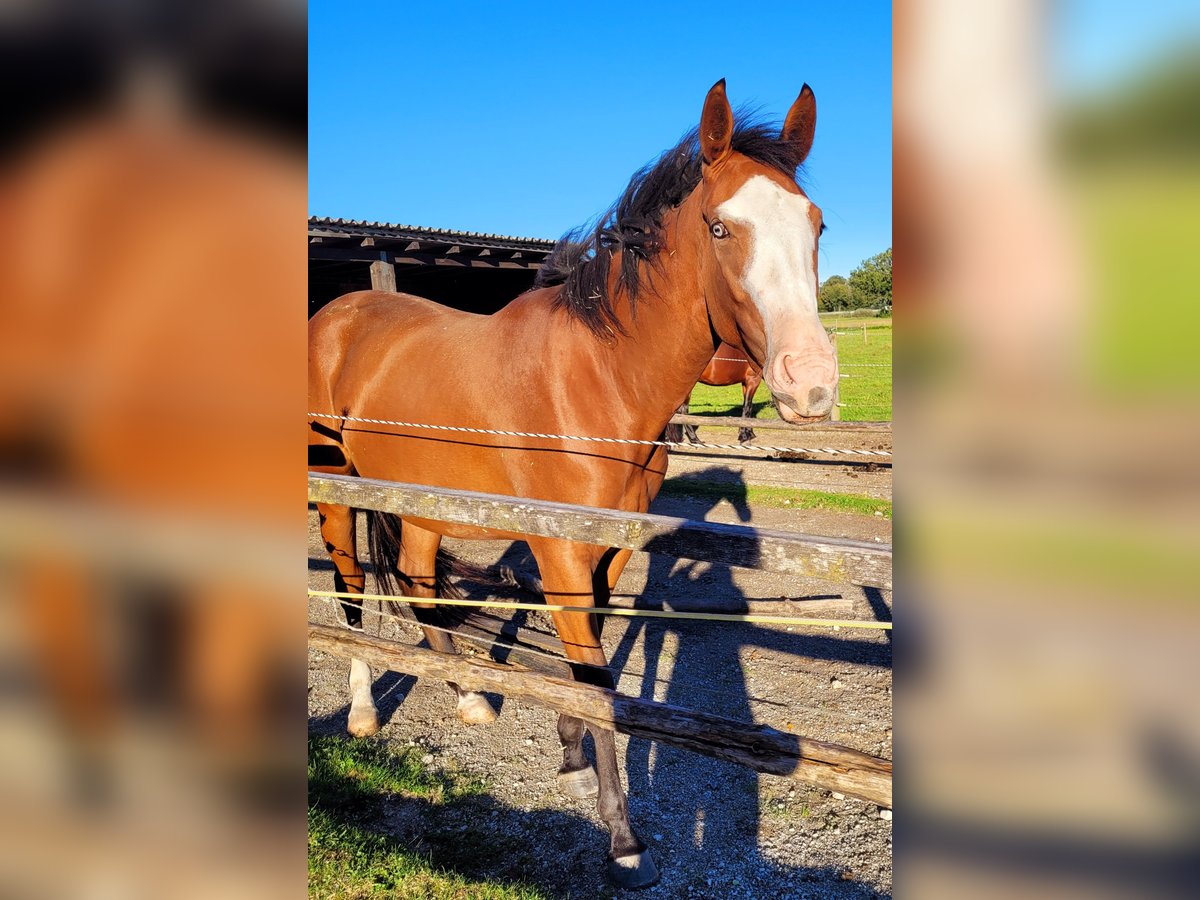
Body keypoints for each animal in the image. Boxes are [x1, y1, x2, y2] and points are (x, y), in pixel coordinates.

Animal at [304, 77, 840, 888]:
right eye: (720, 228)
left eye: (817, 224)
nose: (810, 386)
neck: (596, 382)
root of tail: (338, 313)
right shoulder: (558, 549)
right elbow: (594, 680)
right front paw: (623, 839)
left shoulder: (609, 551)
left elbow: (588, 663)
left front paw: (567, 750)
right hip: (339, 492)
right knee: (352, 588)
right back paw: (365, 711)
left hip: (421, 505)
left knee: (418, 584)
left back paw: (469, 696)